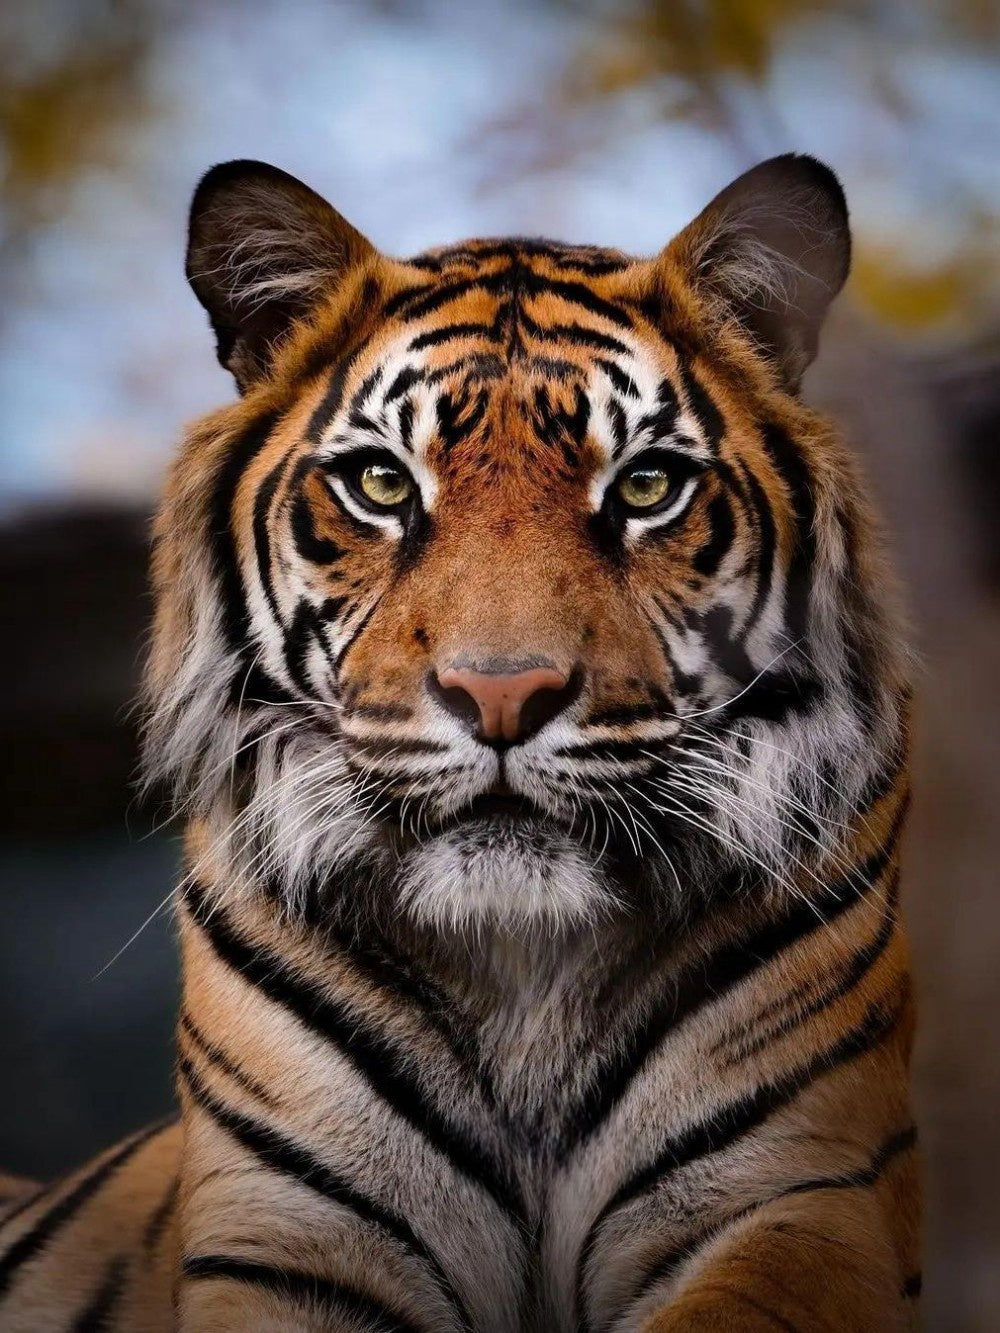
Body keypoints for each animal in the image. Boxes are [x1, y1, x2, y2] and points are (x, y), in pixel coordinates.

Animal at [0, 152, 919, 1332]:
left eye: (645, 485)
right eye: (382, 484)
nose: (502, 694)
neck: (519, 968)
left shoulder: (802, 1194)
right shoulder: (285, 1241)